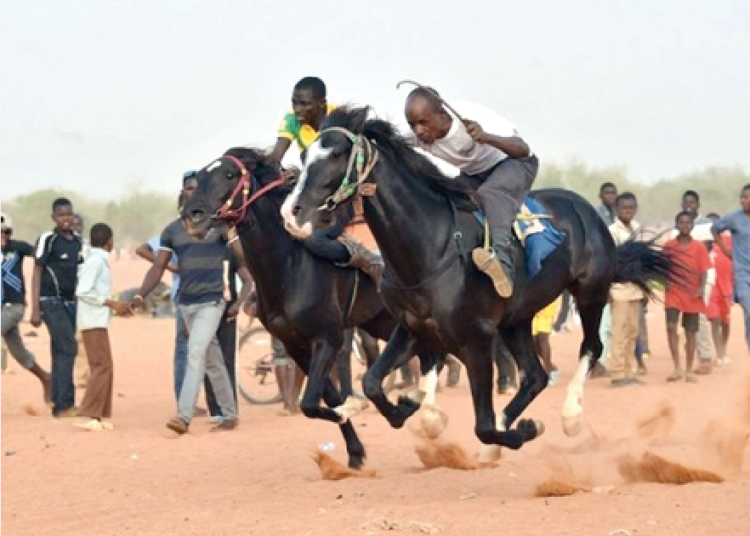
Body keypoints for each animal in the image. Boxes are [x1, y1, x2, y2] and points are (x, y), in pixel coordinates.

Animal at [183, 148, 400, 468]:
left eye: (230, 175)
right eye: (200, 176)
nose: (191, 215)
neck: (290, 266)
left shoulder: (328, 337)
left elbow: (312, 401)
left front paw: (357, 411)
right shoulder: (295, 342)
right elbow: (324, 398)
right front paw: (355, 451)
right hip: (382, 321)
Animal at [280, 108, 676, 456]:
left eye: (336, 154)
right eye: (304, 155)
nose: (291, 212)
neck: (430, 247)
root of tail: (587, 210)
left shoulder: (477, 337)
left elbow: (483, 426)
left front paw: (522, 431)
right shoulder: (413, 328)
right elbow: (373, 383)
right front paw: (402, 406)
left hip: (590, 290)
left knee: (590, 347)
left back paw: (569, 417)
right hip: (517, 319)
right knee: (534, 375)